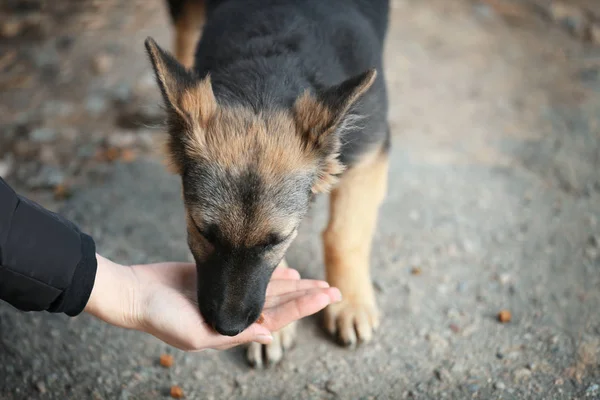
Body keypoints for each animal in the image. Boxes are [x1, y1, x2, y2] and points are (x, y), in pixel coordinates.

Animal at [148, 0, 392, 368]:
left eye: (276, 240)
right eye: (203, 232)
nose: (228, 328)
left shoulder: (369, 154)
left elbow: (344, 235)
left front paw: (350, 303)